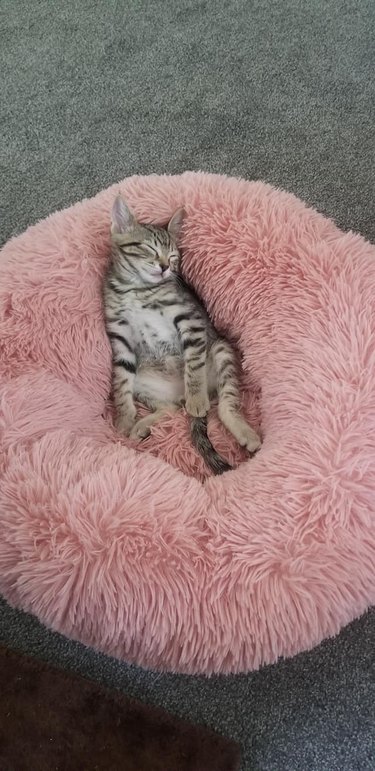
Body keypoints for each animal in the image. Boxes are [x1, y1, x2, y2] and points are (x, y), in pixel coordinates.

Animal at [103, 196, 262, 474]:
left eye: (173, 256)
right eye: (149, 249)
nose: (165, 267)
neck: (136, 289)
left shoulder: (190, 319)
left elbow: (194, 364)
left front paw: (196, 397)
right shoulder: (119, 334)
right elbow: (121, 380)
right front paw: (123, 418)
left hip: (221, 350)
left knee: (225, 405)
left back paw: (239, 429)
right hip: (143, 381)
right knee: (170, 409)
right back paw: (141, 425)